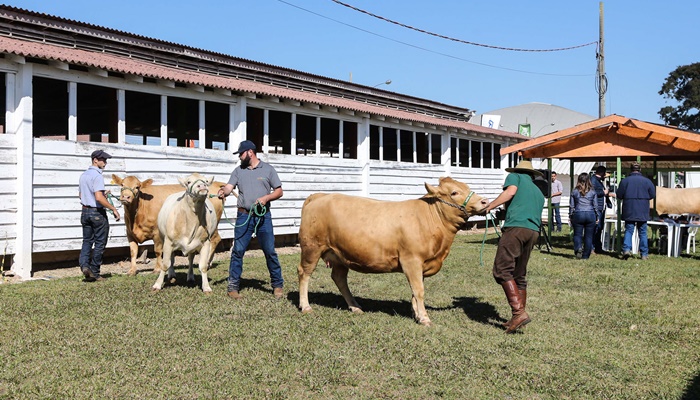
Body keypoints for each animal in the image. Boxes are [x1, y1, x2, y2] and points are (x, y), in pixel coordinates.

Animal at [298, 177, 490, 326]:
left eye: (467, 187)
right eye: (454, 193)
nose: (485, 202)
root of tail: (319, 195)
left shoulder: (420, 265)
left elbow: (414, 290)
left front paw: (416, 314)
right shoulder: (411, 260)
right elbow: (419, 290)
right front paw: (424, 318)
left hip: (340, 255)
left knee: (339, 278)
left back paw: (355, 306)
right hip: (311, 247)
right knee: (304, 273)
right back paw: (306, 306)